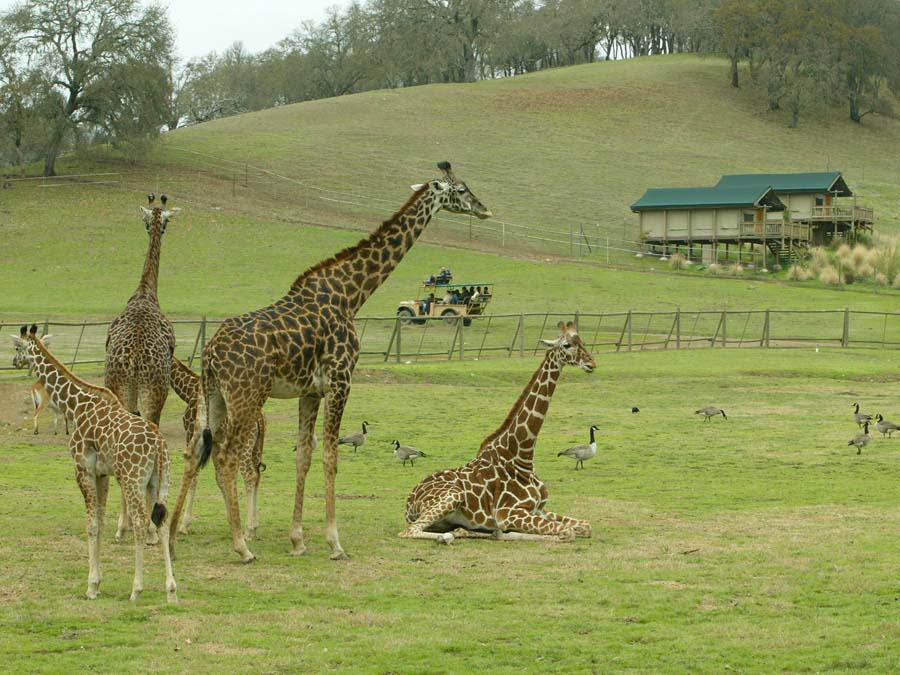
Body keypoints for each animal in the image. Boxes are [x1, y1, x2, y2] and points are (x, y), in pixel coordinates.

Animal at [11, 324, 178, 604]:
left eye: (17, 347)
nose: (14, 362)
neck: (76, 406)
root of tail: (158, 445)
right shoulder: (103, 474)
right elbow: (99, 523)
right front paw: (98, 583)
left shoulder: (83, 470)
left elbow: (90, 526)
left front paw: (91, 586)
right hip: (160, 480)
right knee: (161, 521)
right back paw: (171, 590)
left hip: (133, 480)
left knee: (141, 523)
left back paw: (137, 589)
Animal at [169, 354, 268, 540]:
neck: (188, 392)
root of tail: (260, 418)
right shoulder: (215, 442)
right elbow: (220, 478)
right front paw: (231, 520)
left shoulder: (192, 432)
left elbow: (194, 476)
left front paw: (184, 525)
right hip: (257, 447)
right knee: (257, 476)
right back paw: (254, 526)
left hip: (245, 446)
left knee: (250, 475)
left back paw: (249, 529)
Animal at [400, 336, 596, 548]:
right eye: (567, 345)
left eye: (583, 341)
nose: (591, 363)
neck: (522, 456)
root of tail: (409, 502)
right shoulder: (510, 513)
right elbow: (567, 532)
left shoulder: (538, 509)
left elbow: (586, 525)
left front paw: (495, 533)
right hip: (452, 496)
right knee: (409, 531)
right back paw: (448, 537)